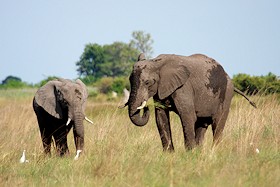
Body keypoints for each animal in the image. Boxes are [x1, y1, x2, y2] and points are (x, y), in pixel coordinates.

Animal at [123, 53, 256, 151]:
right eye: (129, 80)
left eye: (147, 82)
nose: (145, 106)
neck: (157, 62)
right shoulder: (161, 89)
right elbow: (161, 117)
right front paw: (169, 155)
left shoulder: (184, 87)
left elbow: (188, 116)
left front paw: (189, 154)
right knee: (202, 124)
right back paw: (199, 152)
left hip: (226, 95)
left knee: (217, 123)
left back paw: (214, 152)